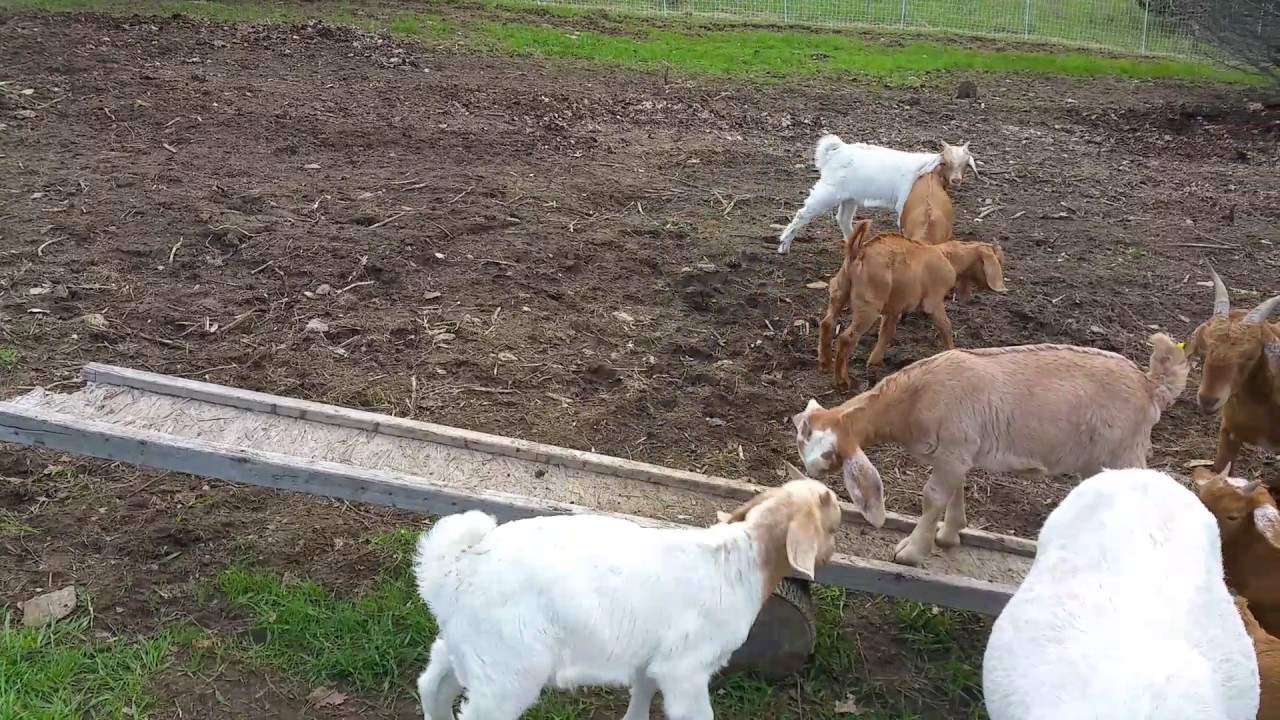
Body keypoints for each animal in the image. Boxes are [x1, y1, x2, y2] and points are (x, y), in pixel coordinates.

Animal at [412, 469, 842, 720]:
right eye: (834, 527)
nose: (829, 557)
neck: (745, 557)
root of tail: (457, 563)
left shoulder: (652, 658)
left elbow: (643, 693)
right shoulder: (685, 667)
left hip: (472, 646)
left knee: (433, 682)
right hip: (508, 669)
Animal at [775, 134, 977, 254]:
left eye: (965, 164)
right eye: (944, 162)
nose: (956, 180)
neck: (926, 171)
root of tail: (838, 150)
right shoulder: (904, 203)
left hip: (850, 196)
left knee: (843, 218)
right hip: (828, 190)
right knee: (804, 213)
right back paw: (784, 244)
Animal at [791, 335, 1189, 566]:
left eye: (830, 457)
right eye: (802, 438)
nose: (809, 471)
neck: (914, 398)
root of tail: (1150, 385)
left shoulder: (954, 447)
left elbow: (932, 496)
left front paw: (912, 551)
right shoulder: (958, 452)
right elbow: (954, 492)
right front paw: (949, 534)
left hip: (1126, 451)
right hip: (1098, 460)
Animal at [818, 219, 1006, 389]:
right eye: (998, 260)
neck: (948, 257)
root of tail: (857, 252)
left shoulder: (894, 308)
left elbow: (887, 333)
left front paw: (875, 361)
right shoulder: (934, 301)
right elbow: (945, 327)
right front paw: (952, 351)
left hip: (839, 291)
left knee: (827, 323)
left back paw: (825, 363)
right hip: (869, 306)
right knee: (846, 338)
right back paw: (842, 381)